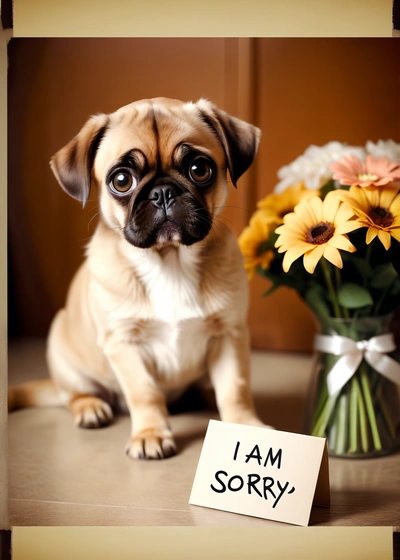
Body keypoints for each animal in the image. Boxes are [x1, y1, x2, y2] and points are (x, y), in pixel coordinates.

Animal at [8, 98, 266, 460]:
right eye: (121, 180)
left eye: (200, 170)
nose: (163, 192)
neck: (169, 260)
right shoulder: (123, 343)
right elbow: (144, 392)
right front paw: (150, 434)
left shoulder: (229, 333)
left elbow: (234, 388)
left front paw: (244, 425)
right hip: (63, 350)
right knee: (72, 395)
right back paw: (90, 408)